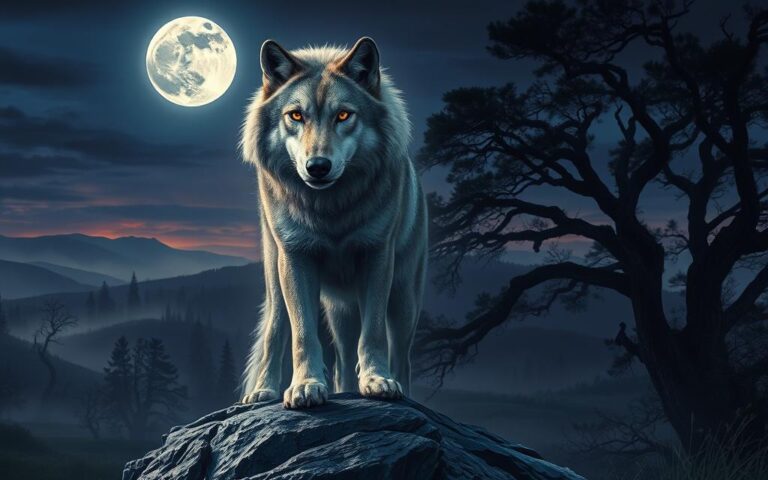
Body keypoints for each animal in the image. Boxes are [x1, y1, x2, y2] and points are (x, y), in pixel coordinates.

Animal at [239, 37, 428, 409]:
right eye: (296, 115)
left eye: (343, 115)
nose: (317, 167)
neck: (330, 210)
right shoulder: (295, 258)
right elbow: (302, 335)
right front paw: (306, 386)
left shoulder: (377, 257)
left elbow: (373, 334)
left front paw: (377, 381)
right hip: (281, 281)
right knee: (278, 334)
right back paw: (263, 391)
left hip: (403, 300)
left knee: (401, 356)